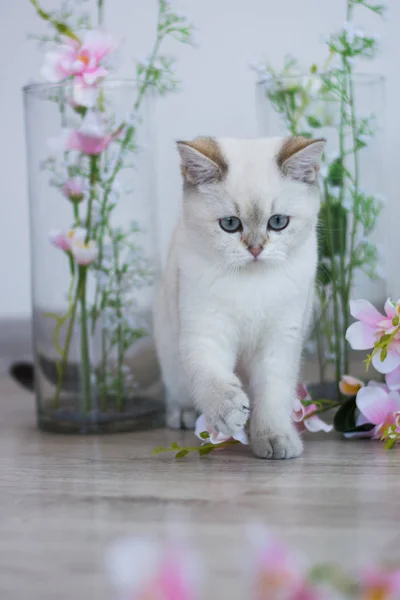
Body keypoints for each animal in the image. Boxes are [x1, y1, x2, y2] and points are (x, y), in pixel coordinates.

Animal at [153, 136, 324, 460]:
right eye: (230, 224)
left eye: (278, 222)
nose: (256, 249)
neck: (251, 284)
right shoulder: (205, 332)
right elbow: (210, 376)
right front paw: (228, 411)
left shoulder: (280, 340)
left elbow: (272, 395)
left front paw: (275, 438)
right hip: (171, 353)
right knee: (178, 389)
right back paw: (182, 415)